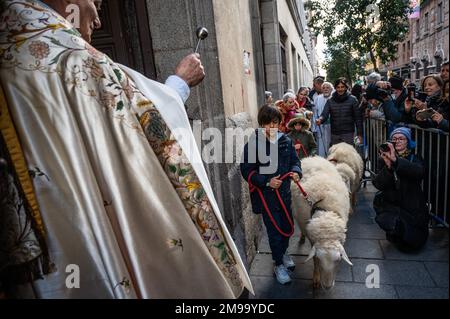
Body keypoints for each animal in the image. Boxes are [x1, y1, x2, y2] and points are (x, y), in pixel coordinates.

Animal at [292, 157, 352, 290]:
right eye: (319, 260)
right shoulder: (312, 237)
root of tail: (312, 157)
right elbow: (313, 259)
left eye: (339, 260)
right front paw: (316, 278)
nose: (327, 286)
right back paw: (301, 238)